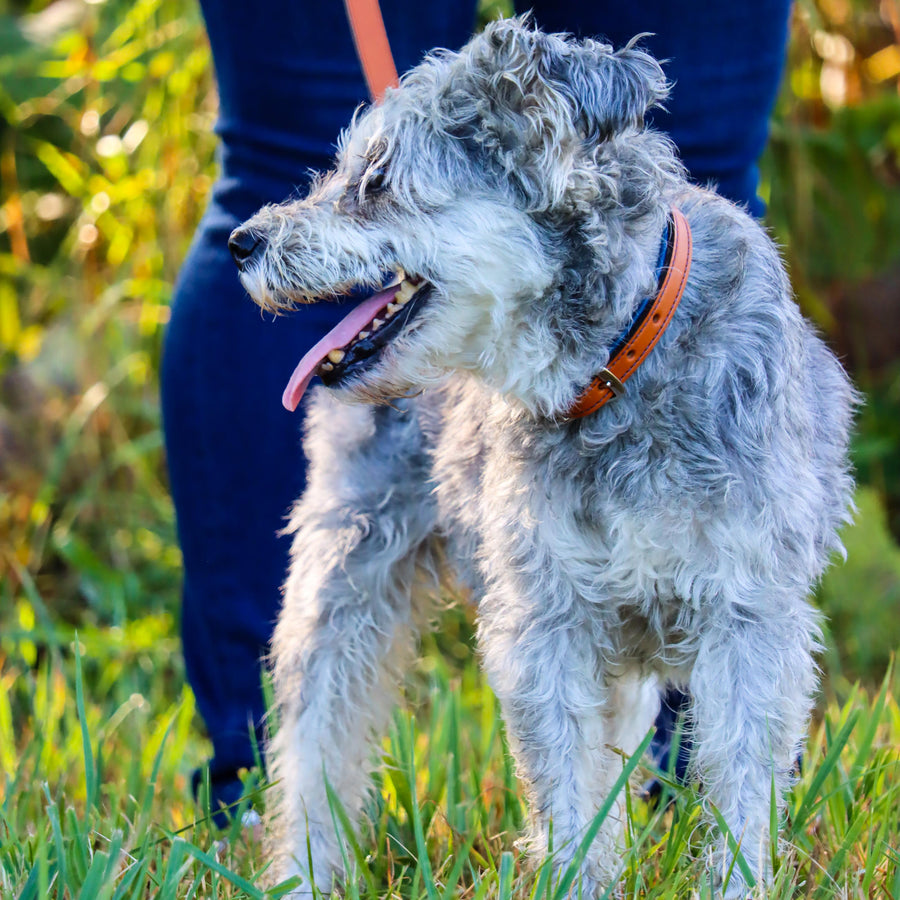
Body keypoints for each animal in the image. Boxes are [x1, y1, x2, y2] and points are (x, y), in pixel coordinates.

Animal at [229, 15, 856, 900]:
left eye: (378, 181)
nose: (241, 241)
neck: (618, 364)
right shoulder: (547, 619)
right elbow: (566, 790)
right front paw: (577, 880)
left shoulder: (748, 619)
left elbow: (738, 791)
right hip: (345, 572)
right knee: (321, 741)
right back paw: (306, 873)